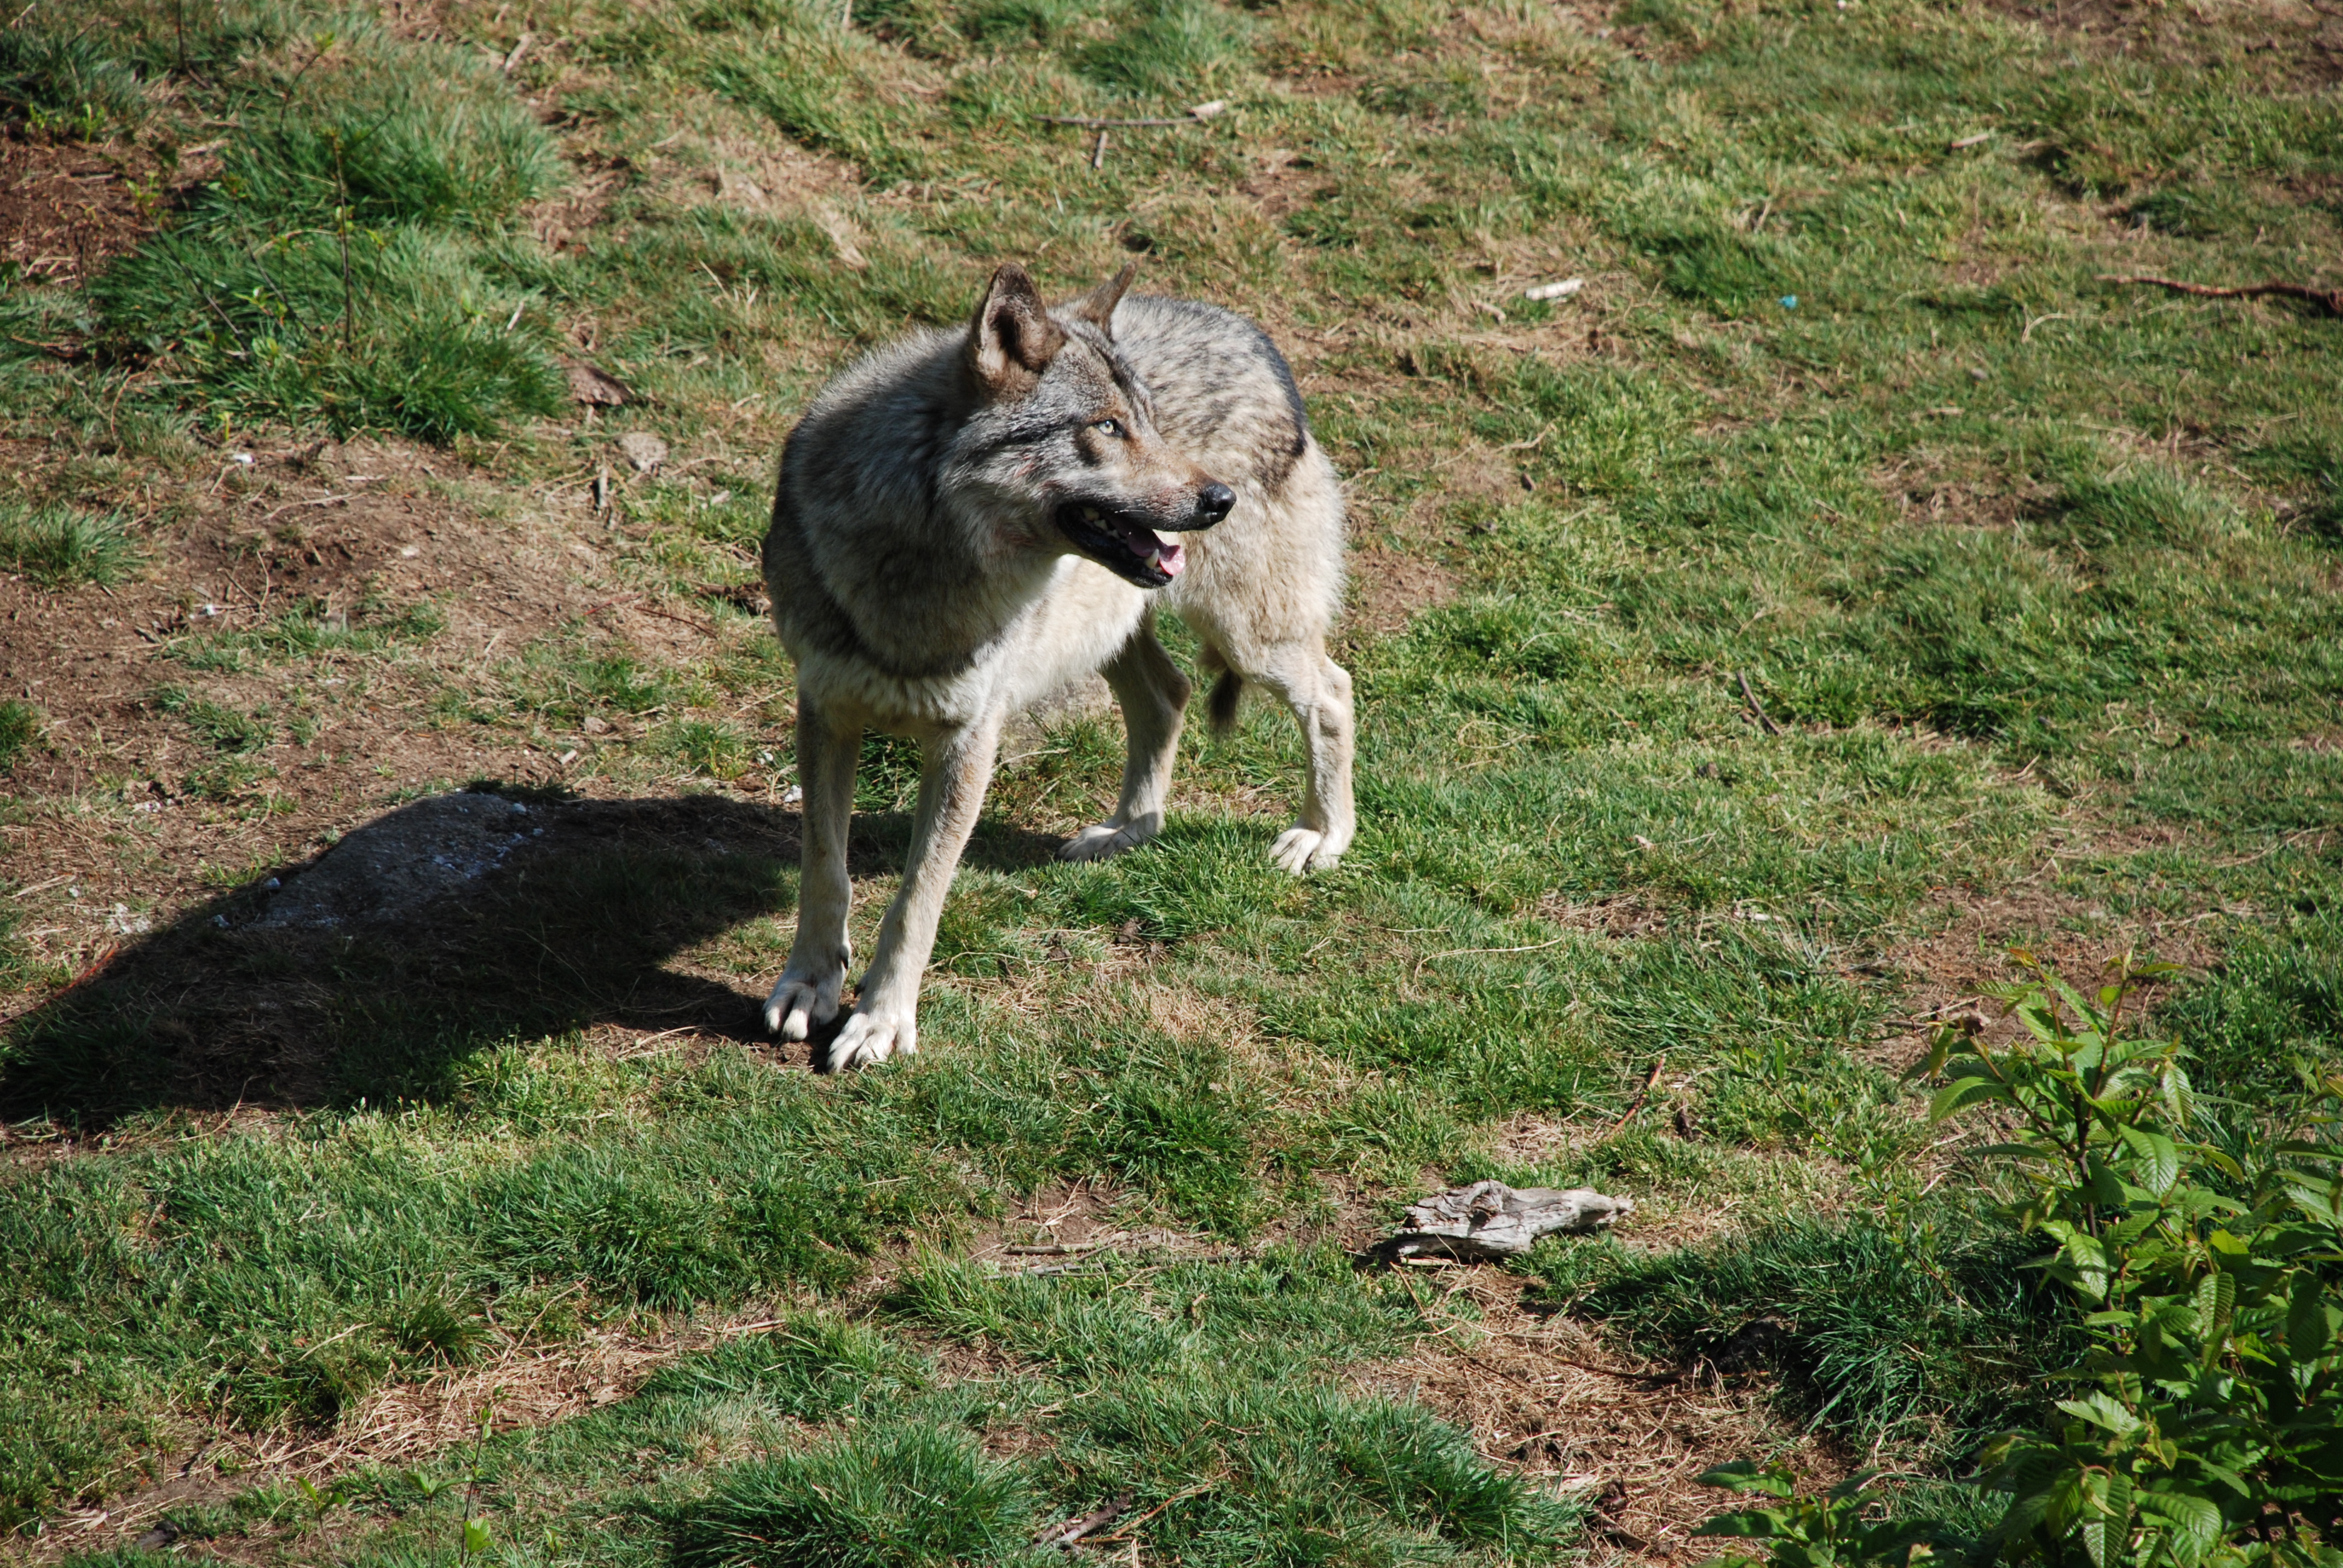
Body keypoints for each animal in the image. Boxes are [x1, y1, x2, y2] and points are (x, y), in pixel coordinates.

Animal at [759, 262, 1354, 1070]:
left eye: (1148, 421)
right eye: (1106, 427)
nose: (1219, 500)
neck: (919, 566)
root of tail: (1253, 336)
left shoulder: (969, 740)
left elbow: (915, 901)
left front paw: (881, 1022)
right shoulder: (824, 710)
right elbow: (827, 872)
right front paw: (809, 984)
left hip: (1246, 639)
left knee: (1333, 693)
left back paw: (1322, 837)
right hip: (1114, 630)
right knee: (1168, 695)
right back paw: (1128, 830)